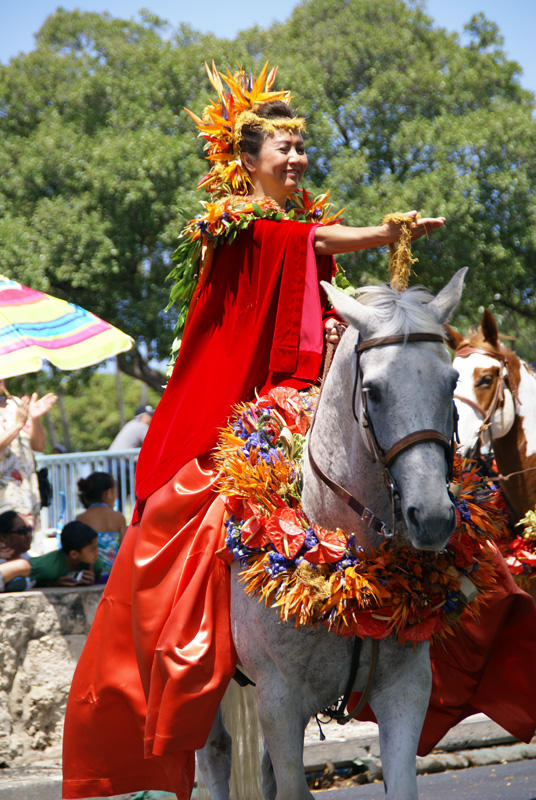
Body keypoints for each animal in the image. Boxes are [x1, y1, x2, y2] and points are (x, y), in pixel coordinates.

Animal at [199, 270, 466, 800]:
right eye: (375, 391)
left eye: (452, 382)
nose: (431, 518)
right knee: (214, 756)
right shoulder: (280, 703)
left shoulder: (406, 690)